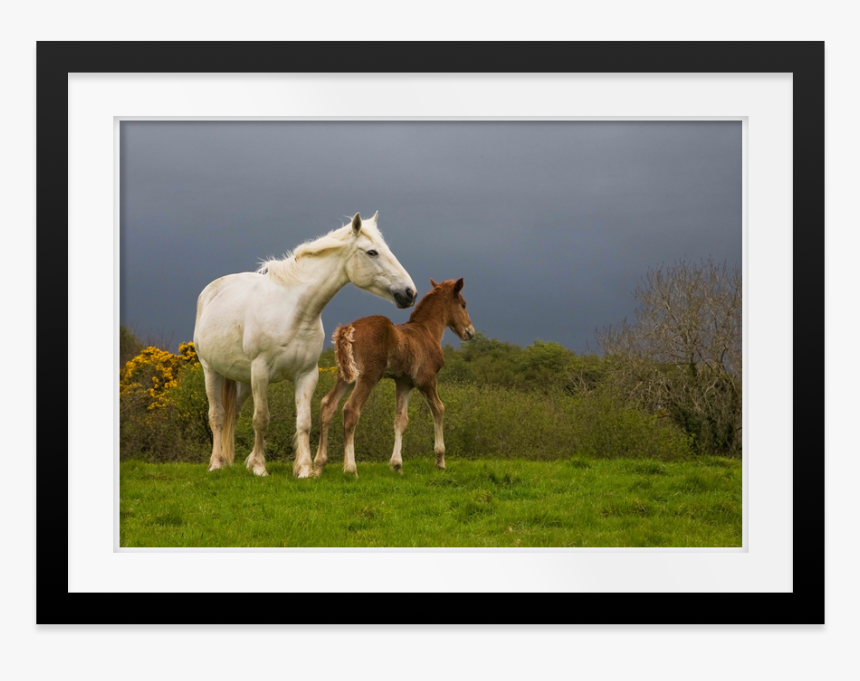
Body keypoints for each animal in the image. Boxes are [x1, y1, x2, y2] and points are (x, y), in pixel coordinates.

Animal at [193, 212, 416, 478]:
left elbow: (304, 422)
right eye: (372, 252)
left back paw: (229, 460)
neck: (294, 312)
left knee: (232, 414)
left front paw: (304, 469)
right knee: (217, 415)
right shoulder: (260, 372)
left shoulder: (307, 375)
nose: (409, 293)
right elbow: (261, 419)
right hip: (212, 371)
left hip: (243, 380)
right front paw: (259, 467)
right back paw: (216, 463)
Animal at [313, 278, 475, 477]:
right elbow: (439, 409)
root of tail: (348, 329)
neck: (427, 332)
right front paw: (440, 460)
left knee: (328, 405)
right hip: (368, 376)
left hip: (346, 377)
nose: (470, 332)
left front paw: (397, 465)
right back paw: (351, 468)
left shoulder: (403, 383)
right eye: (463, 304)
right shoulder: (427, 380)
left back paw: (318, 466)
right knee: (351, 409)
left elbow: (400, 420)